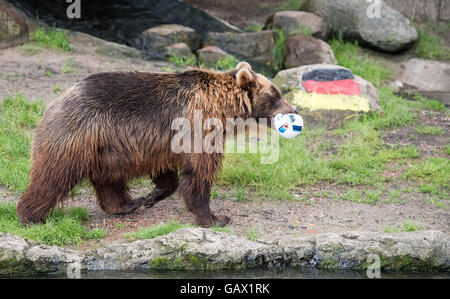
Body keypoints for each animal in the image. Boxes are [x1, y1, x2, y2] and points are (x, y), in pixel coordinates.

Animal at [15, 62, 298, 229]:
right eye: (276, 95)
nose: (294, 108)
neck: (224, 109)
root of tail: (58, 99)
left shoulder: (161, 142)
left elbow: (167, 172)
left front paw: (153, 195)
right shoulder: (198, 126)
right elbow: (199, 172)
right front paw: (214, 217)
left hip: (107, 147)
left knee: (107, 178)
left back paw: (128, 204)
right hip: (77, 135)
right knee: (54, 174)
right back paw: (30, 215)